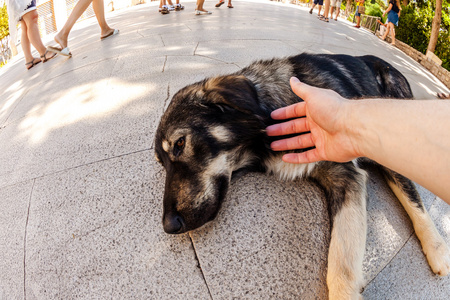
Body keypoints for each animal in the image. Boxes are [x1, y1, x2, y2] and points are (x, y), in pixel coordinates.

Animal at [156, 54, 450, 300]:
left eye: (180, 143)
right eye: (162, 164)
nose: (170, 226)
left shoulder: (347, 174)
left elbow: (341, 262)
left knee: (412, 196)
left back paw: (437, 248)